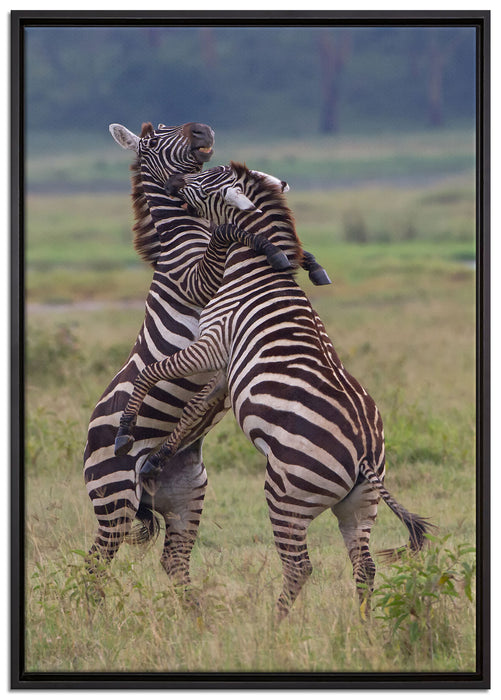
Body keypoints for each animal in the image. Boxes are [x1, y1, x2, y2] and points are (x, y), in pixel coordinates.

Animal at [114, 162, 432, 618]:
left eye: (203, 181)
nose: (172, 183)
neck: (256, 269)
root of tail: (364, 454)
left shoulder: (212, 343)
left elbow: (153, 373)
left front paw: (125, 429)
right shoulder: (225, 366)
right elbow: (193, 411)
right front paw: (155, 460)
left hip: (286, 496)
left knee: (300, 567)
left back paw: (273, 624)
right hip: (360, 507)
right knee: (365, 567)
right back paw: (363, 627)